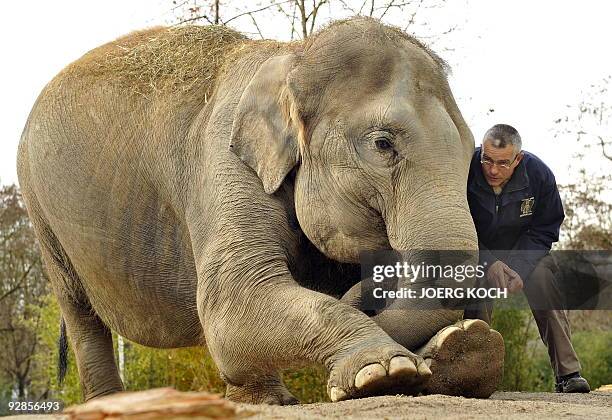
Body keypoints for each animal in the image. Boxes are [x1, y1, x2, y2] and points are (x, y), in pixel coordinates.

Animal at [17, 18, 502, 406]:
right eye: (383, 144)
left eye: (469, 153)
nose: (361, 297)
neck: (294, 55)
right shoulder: (221, 162)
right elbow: (233, 302)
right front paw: (383, 372)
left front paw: (464, 349)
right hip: (40, 212)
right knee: (80, 310)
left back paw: (269, 400)